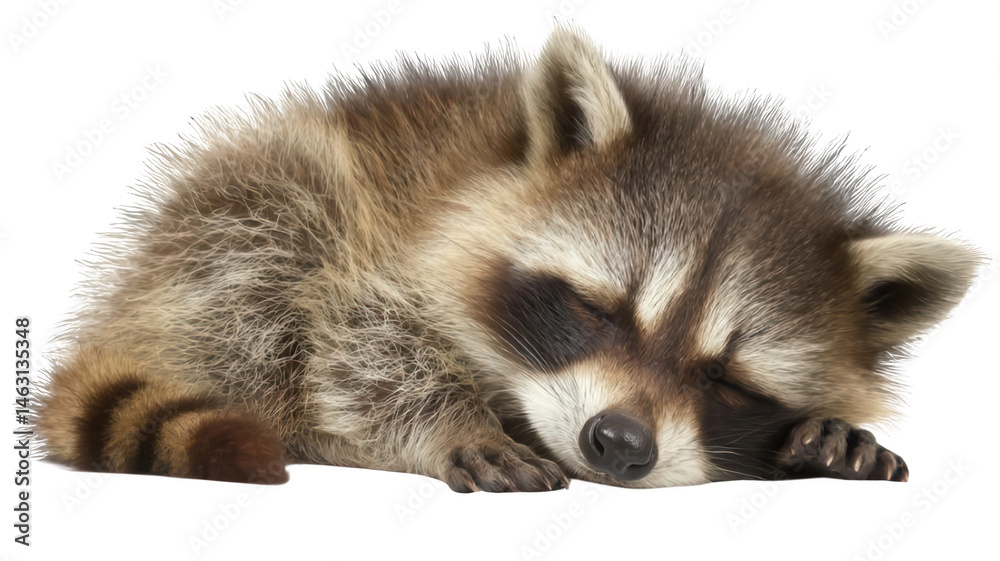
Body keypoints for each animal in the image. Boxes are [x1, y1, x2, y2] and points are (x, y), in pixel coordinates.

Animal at [36, 26, 979, 492]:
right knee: (263, 254)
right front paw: (450, 418)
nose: (619, 444)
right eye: (596, 309)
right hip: (238, 201)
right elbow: (357, 335)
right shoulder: (391, 237)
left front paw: (821, 436)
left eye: (728, 379)